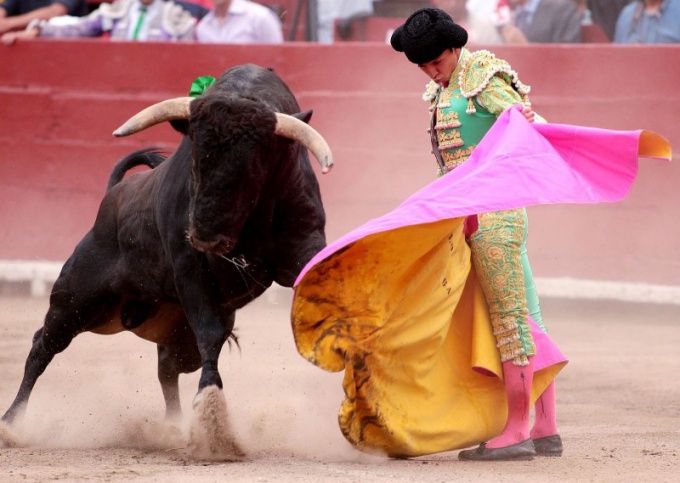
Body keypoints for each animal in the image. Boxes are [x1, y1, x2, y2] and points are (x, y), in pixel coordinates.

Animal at [0, 62, 334, 436]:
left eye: (253, 166)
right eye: (196, 157)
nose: (205, 236)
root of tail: (113, 194)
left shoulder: (303, 247)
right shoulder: (189, 268)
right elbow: (210, 334)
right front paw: (211, 411)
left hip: (168, 329)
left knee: (167, 368)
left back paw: (173, 426)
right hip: (76, 300)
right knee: (43, 344)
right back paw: (11, 422)